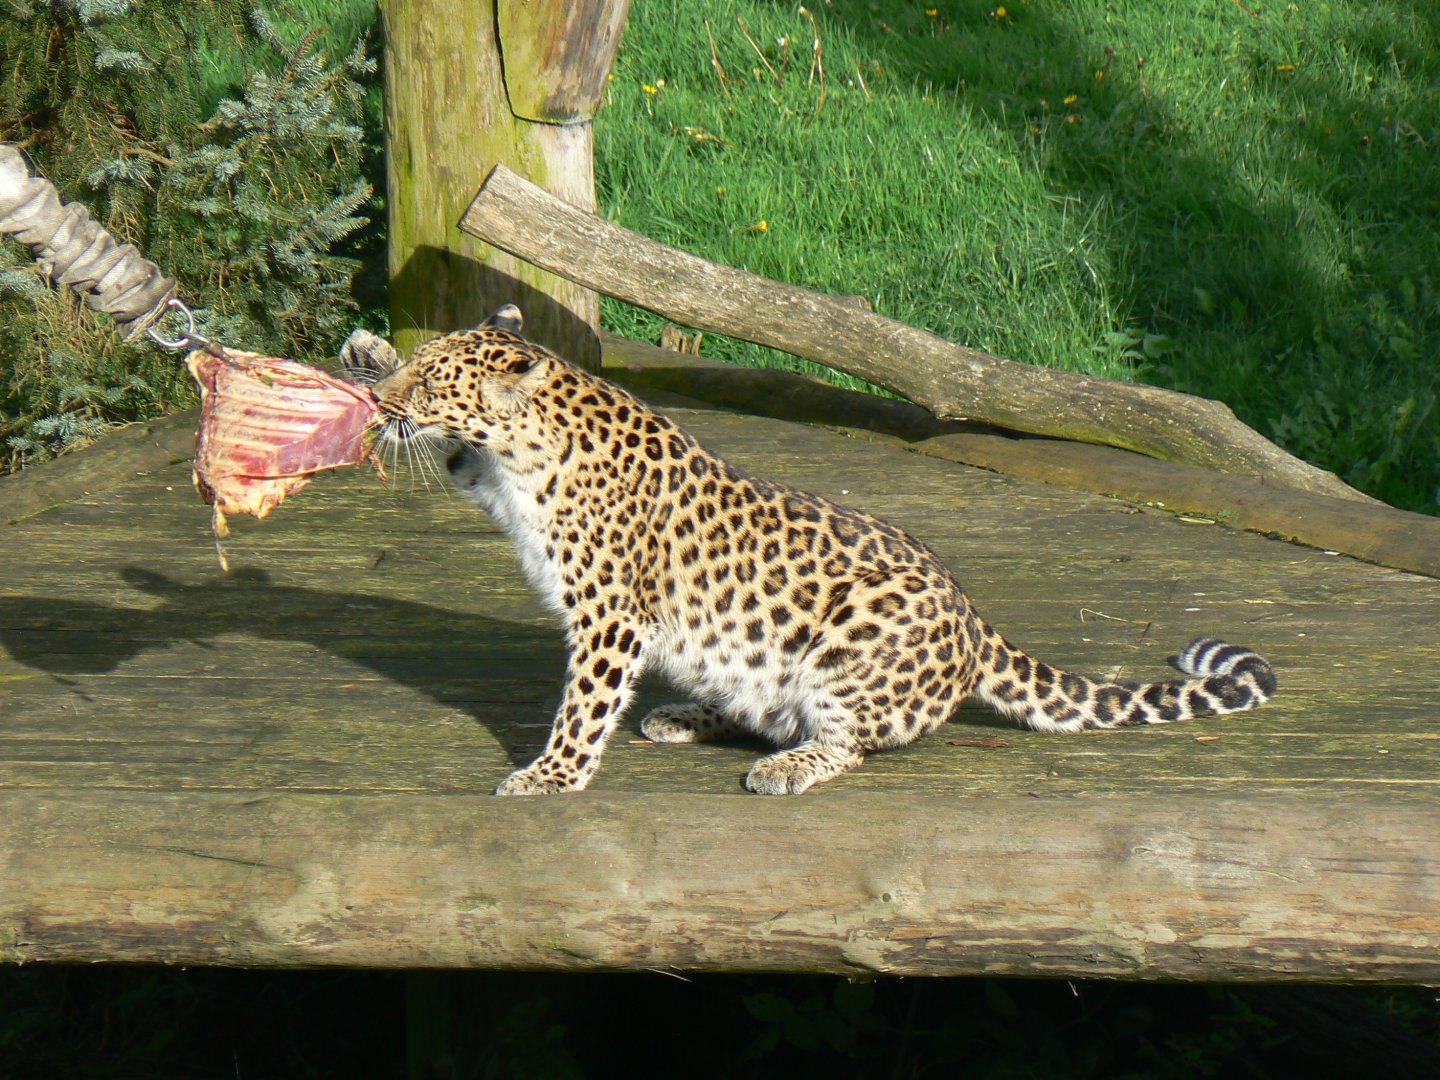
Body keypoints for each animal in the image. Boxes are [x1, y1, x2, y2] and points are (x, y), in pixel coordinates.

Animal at [360, 305, 1276, 796]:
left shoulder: (612, 615)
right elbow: (454, 461)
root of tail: (977, 625)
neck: (533, 446)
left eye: (436, 382)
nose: (386, 399)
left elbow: (584, 704)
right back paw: (689, 714)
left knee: (849, 738)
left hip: (853, 635)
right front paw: (366, 357)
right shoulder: (496, 485)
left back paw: (788, 763)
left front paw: (550, 776)